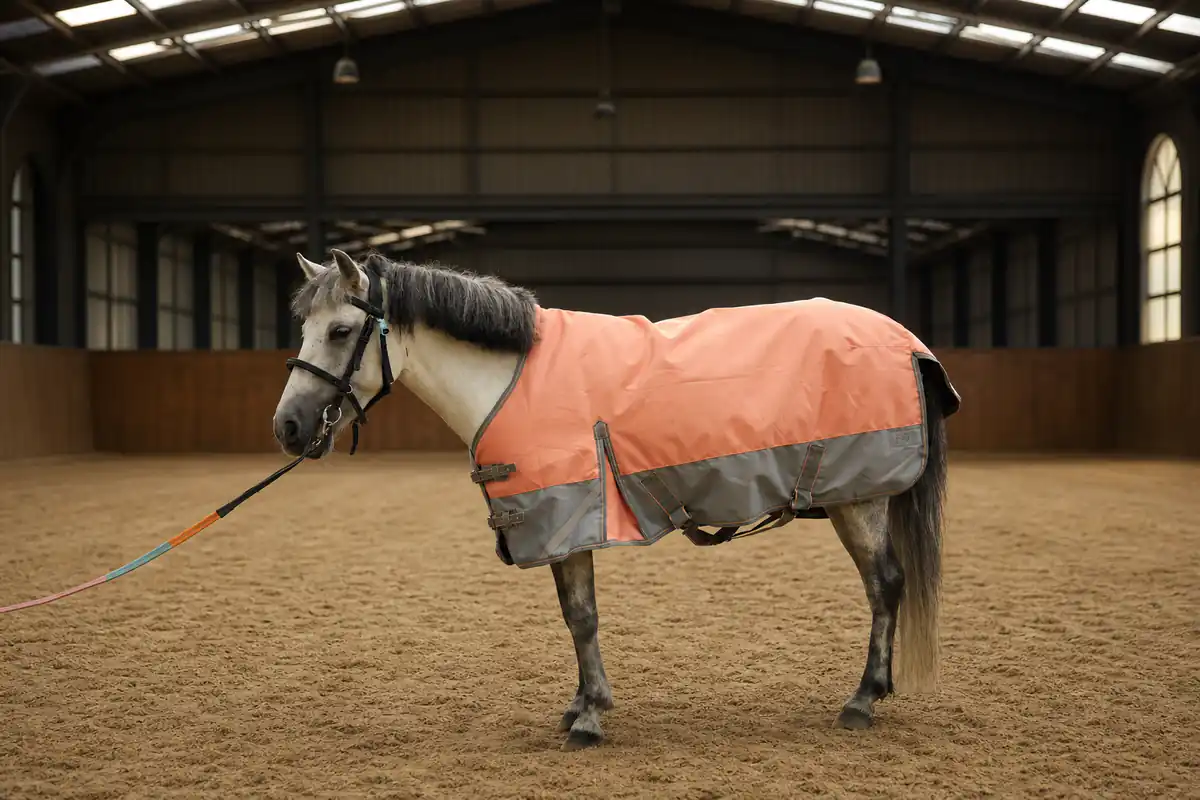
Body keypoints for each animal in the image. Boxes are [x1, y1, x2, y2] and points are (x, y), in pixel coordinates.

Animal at [272, 248, 960, 751]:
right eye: (303, 328)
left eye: (341, 330)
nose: (288, 428)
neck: (512, 377)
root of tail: (906, 342)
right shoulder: (552, 525)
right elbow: (573, 615)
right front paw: (581, 703)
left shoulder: (567, 517)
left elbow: (582, 617)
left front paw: (589, 718)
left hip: (859, 499)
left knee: (884, 585)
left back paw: (862, 700)